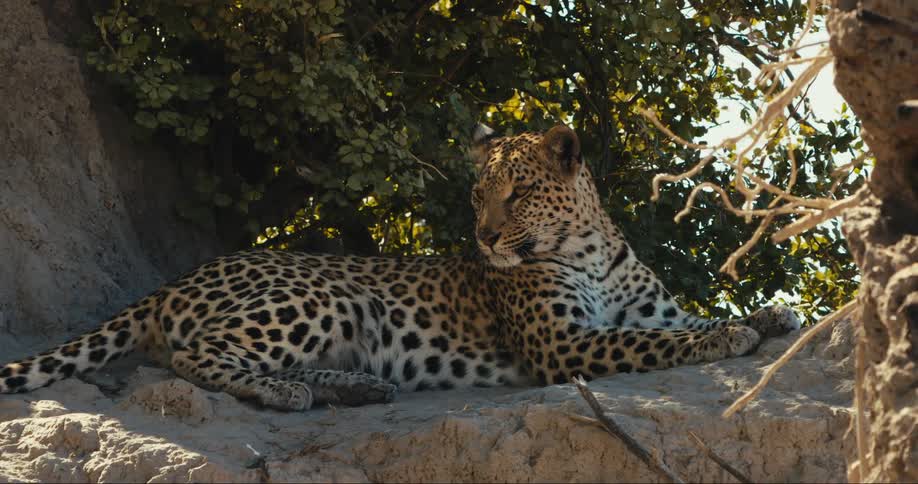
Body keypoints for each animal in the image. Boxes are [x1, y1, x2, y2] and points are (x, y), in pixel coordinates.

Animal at [0, 124, 800, 410]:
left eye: (517, 192)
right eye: (478, 193)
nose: (485, 235)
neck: (588, 247)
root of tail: (179, 278)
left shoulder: (649, 308)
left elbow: (682, 319)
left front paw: (770, 313)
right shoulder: (563, 344)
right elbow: (657, 342)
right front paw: (730, 337)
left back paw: (355, 387)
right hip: (323, 295)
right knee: (195, 357)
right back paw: (292, 395)